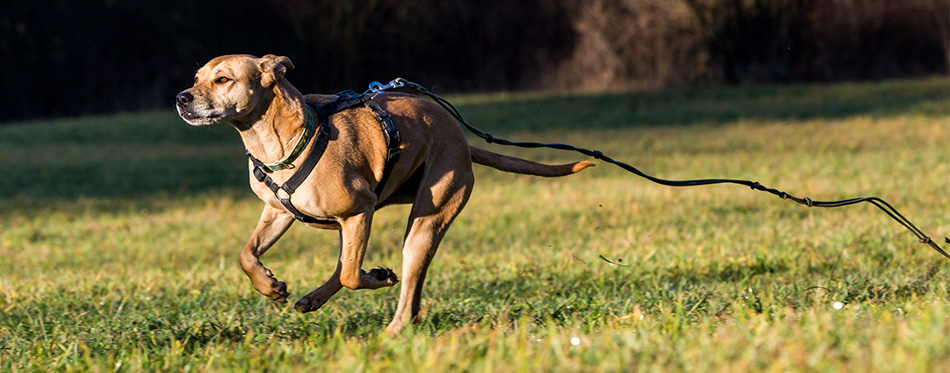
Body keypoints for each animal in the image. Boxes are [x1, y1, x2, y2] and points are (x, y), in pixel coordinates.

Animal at [176, 54, 592, 334]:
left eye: (223, 79)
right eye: (197, 78)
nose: (182, 98)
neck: (277, 138)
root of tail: (462, 140)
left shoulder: (361, 210)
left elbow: (351, 275)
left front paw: (376, 277)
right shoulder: (278, 213)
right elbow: (247, 254)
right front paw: (269, 285)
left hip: (423, 226)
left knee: (393, 286)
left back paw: (392, 328)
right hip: (367, 227)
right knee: (357, 270)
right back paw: (319, 297)